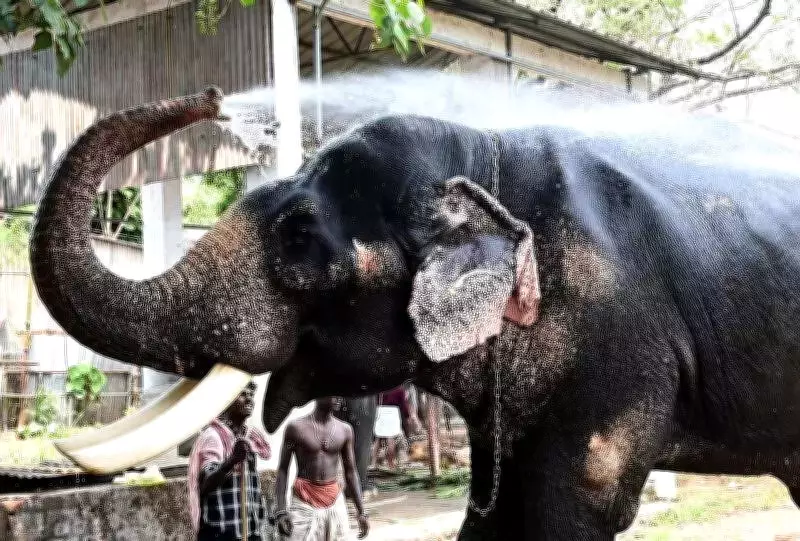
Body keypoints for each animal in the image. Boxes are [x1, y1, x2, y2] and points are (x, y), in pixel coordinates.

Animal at [29, 87, 800, 539]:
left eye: (299, 235)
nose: (212, 98)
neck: (486, 156)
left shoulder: (618, 335)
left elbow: (574, 506)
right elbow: (496, 505)